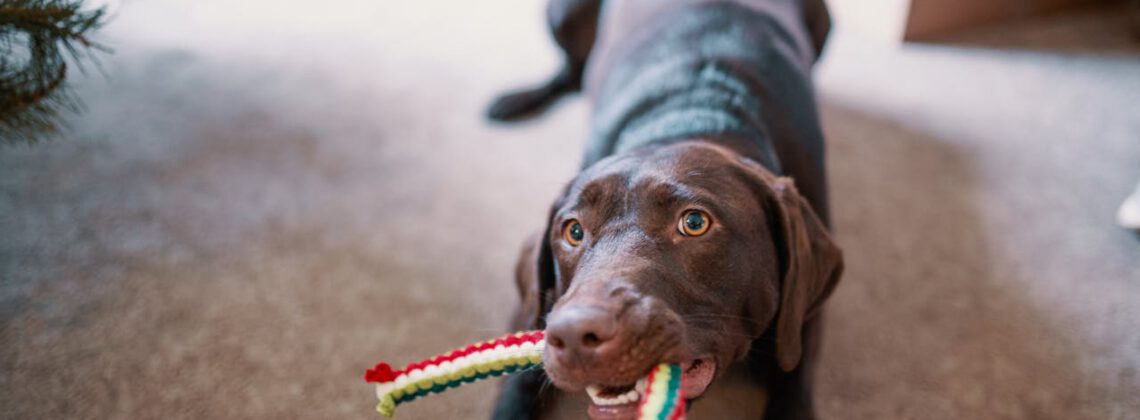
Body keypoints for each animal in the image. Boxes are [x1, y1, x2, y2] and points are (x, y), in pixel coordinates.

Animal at [487, 0, 839, 420]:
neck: (693, 117)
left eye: (695, 222)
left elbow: (793, 375)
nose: (574, 334)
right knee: (572, 73)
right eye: (572, 230)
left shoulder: (804, 319)